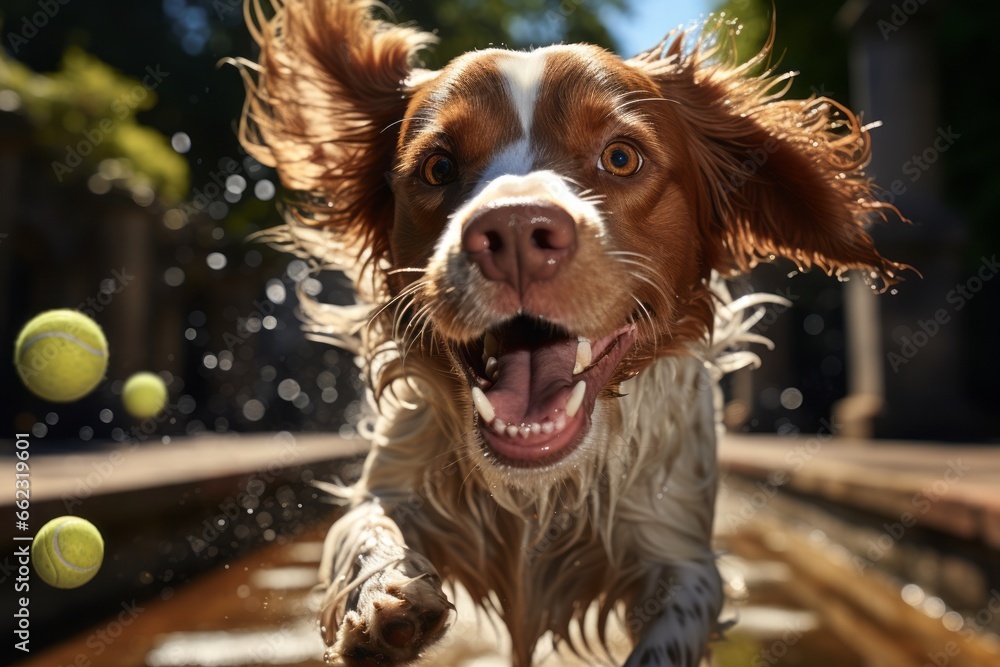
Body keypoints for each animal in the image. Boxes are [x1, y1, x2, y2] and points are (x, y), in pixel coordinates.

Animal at [232, 2, 908, 664]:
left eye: (621, 156)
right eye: (438, 166)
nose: (513, 232)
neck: (541, 493)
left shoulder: (678, 550)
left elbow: (675, 621)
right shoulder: (395, 480)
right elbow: (367, 531)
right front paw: (387, 600)